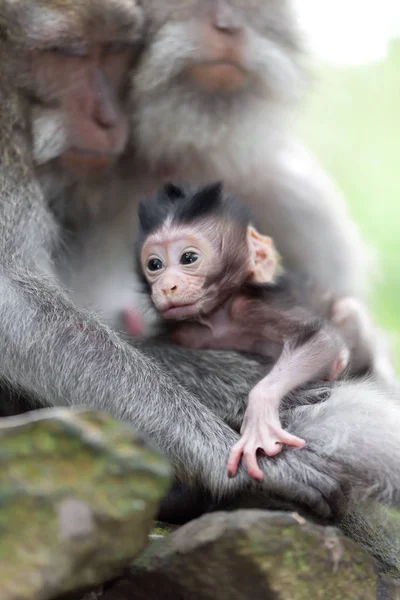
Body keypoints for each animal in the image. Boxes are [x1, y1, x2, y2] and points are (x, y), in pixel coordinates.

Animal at [130, 180, 376, 480]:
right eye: (154, 264)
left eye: (188, 258)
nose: (167, 287)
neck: (214, 319)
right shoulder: (183, 331)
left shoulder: (247, 308)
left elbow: (321, 341)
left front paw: (259, 415)